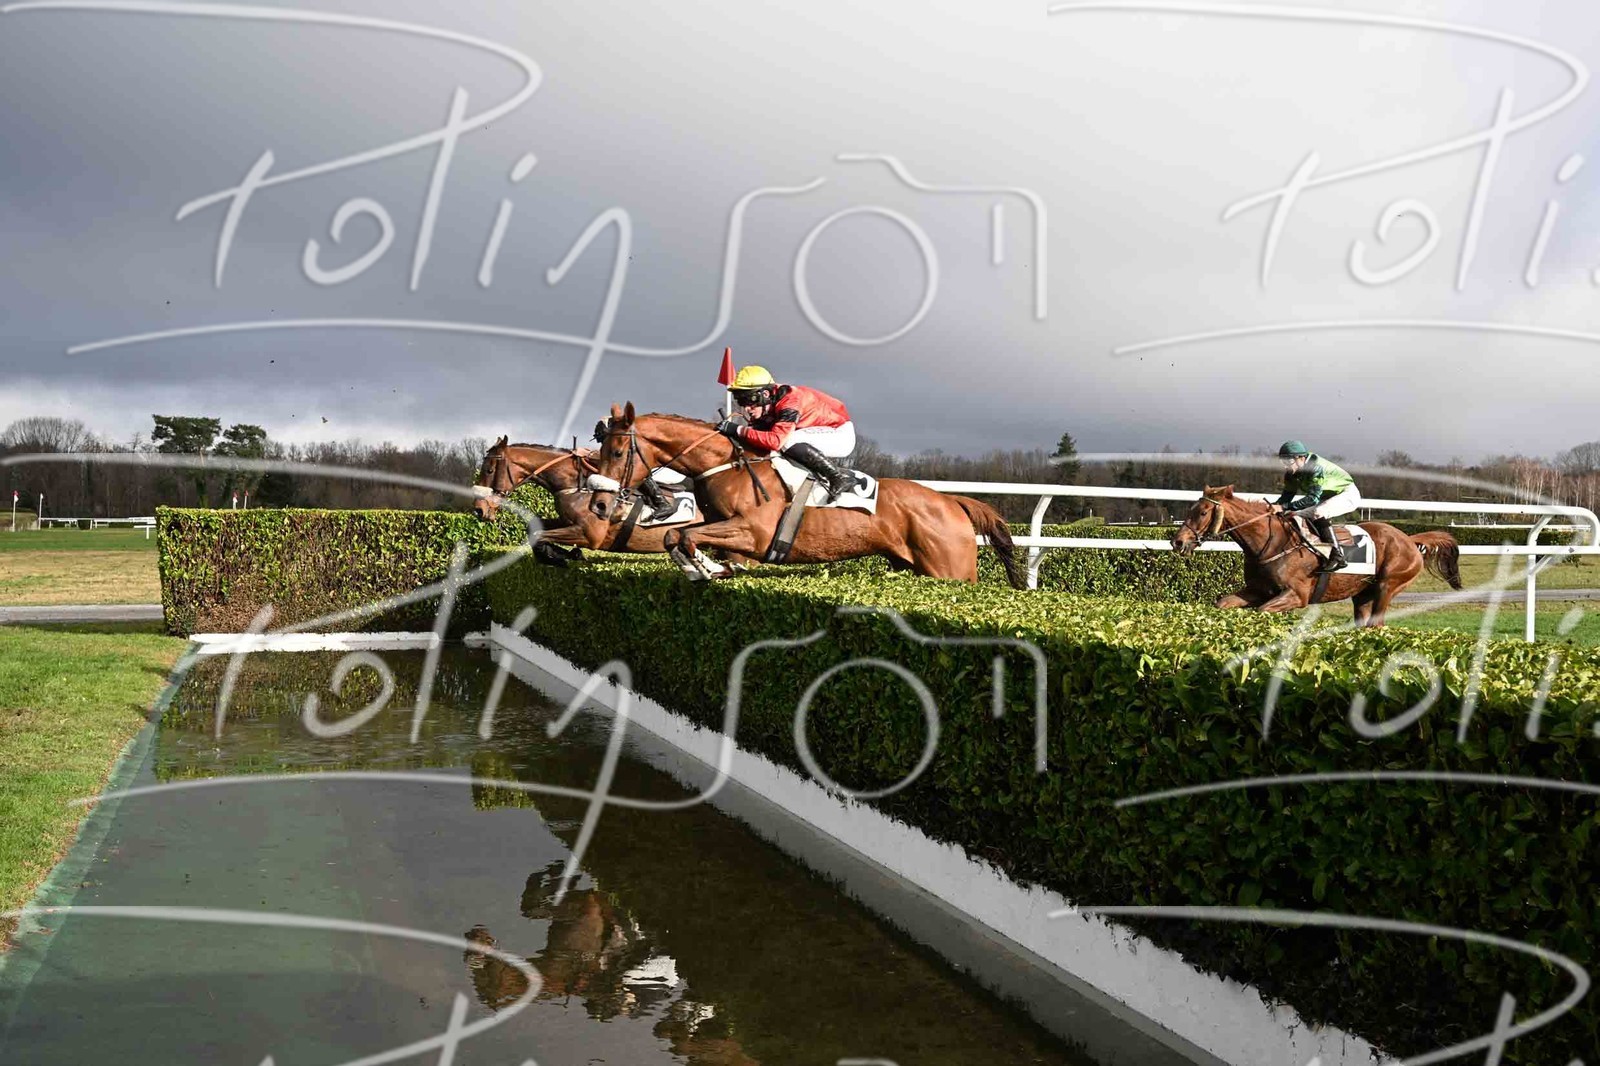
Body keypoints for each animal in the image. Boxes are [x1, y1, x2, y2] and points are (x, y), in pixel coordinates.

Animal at [587, 403, 1026, 587]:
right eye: (599, 449)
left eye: (618, 452)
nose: (599, 504)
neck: (728, 466)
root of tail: (953, 502)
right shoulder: (718, 524)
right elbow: (675, 535)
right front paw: (706, 568)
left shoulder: (754, 532)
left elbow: (684, 536)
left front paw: (709, 569)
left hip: (952, 570)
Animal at [1170, 484, 1462, 626]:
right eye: (1191, 510)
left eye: (1203, 512)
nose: (1177, 541)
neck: (1271, 542)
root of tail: (1410, 540)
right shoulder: (1257, 591)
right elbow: (1223, 604)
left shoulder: (1297, 595)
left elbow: (1264, 611)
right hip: (1362, 594)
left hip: (1388, 586)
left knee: (1376, 625)